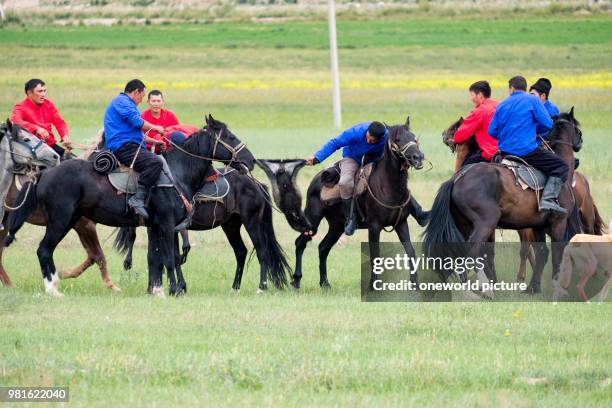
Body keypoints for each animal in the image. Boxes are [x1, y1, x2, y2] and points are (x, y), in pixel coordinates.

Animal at [5, 115, 253, 296]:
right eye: (230, 136)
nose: (250, 161)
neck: (176, 173)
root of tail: (46, 172)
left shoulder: (155, 226)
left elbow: (155, 258)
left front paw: (157, 290)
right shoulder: (166, 224)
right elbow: (169, 259)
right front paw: (174, 290)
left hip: (71, 220)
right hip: (60, 220)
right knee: (44, 249)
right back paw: (53, 289)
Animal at [115, 168, 292, 290]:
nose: (127, 263)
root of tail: (257, 184)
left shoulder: (167, 227)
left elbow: (170, 255)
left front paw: (179, 286)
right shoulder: (170, 228)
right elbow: (173, 255)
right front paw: (180, 285)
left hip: (251, 222)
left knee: (262, 251)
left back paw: (261, 287)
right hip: (231, 225)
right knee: (241, 252)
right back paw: (235, 287)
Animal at [286, 117, 426, 290]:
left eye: (413, 137)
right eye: (398, 139)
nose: (418, 157)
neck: (386, 185)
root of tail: (318, 178)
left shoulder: (401, 223)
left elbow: (410, 252)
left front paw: (415, 285)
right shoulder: (374, 226)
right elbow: (375, 255)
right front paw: (373, 286)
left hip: (337, 226)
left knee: (323, 248)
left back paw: (325, 283)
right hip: (313, 220)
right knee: (300, 243)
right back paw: (296, 281)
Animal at [426, 109, 584, 294]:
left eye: (457, 126)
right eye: (577, 128)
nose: (444, 135)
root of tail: (457, 179)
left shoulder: (539, 225)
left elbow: (542, 252)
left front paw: (533, 287)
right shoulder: (557, 222)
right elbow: (556, 253)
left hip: (471, 224)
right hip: (485, 223)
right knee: (472, 252)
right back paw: (483, 290)